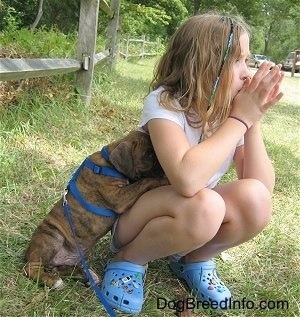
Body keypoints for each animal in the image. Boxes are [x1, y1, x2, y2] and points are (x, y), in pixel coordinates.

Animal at [24, 130, 168, 288]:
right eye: (148, 155)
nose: (163, 166)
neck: (109, 164)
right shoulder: (119, 197)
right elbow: (144, 181)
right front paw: (164, 179)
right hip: (52, 237)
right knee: (31, 268)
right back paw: (53, 281)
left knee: (60, 268)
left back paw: (86, 276)